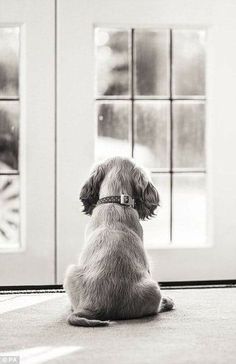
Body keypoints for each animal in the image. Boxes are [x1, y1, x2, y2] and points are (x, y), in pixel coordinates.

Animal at [63, 156, 174, 328]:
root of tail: (93, 307)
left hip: (70, 272)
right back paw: (166, 302)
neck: (115, 201)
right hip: (154, 288)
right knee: (156, 307)